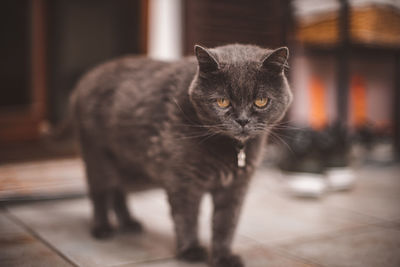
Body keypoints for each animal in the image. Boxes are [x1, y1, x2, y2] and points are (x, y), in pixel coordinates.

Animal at [70, 44, 292, 267]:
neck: (232, 148)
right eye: (222, 101)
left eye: (261, 101)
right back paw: (103, 229)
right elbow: (187, 216)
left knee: (118, 190)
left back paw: (129, 223)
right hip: (98, 156)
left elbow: (225, 223)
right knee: (100, 193)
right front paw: (191, 251)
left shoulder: (235, 187)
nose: (243, 120)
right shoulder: (184, 179)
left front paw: (223, 257)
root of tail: (87, 76)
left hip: (128, 165)